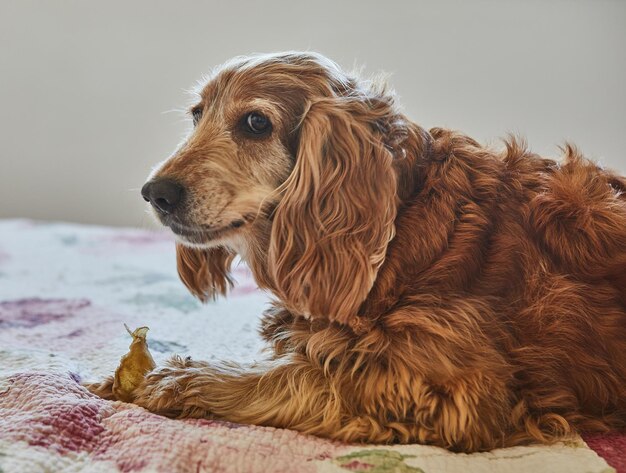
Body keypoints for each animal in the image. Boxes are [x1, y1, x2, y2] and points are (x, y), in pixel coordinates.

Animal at [86, 50, 624, 450]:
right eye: (197, 115)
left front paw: (188, 377)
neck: (405, 223)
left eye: (256, 123)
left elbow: (297, 376)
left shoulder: (452, 388)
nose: (155, 193)